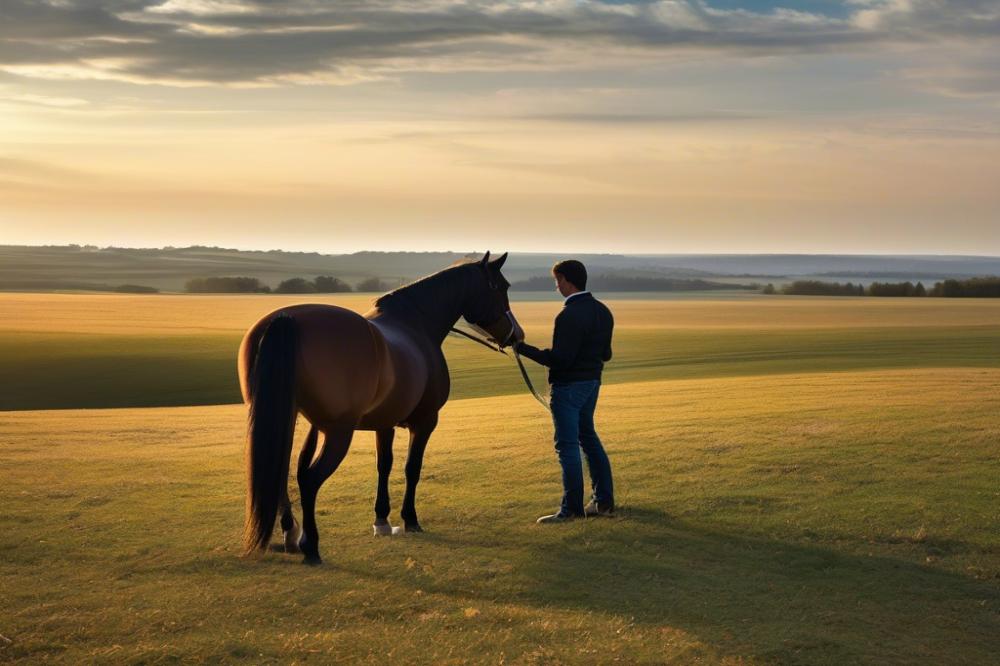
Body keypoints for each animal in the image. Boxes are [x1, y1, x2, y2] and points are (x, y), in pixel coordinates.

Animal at [238, 251, 524, 564]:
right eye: (502, 286)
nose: (516, 336)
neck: (415, 326)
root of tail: (285, 319)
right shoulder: (425, 422)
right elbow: (412, 467)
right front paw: (410, 519)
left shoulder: (384, 423)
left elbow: (383, 465)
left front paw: (382, 520)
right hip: (338, 432)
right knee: (310, 480)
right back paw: (310, 546)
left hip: (285, 421)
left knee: (281, 476)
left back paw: (291, 534)